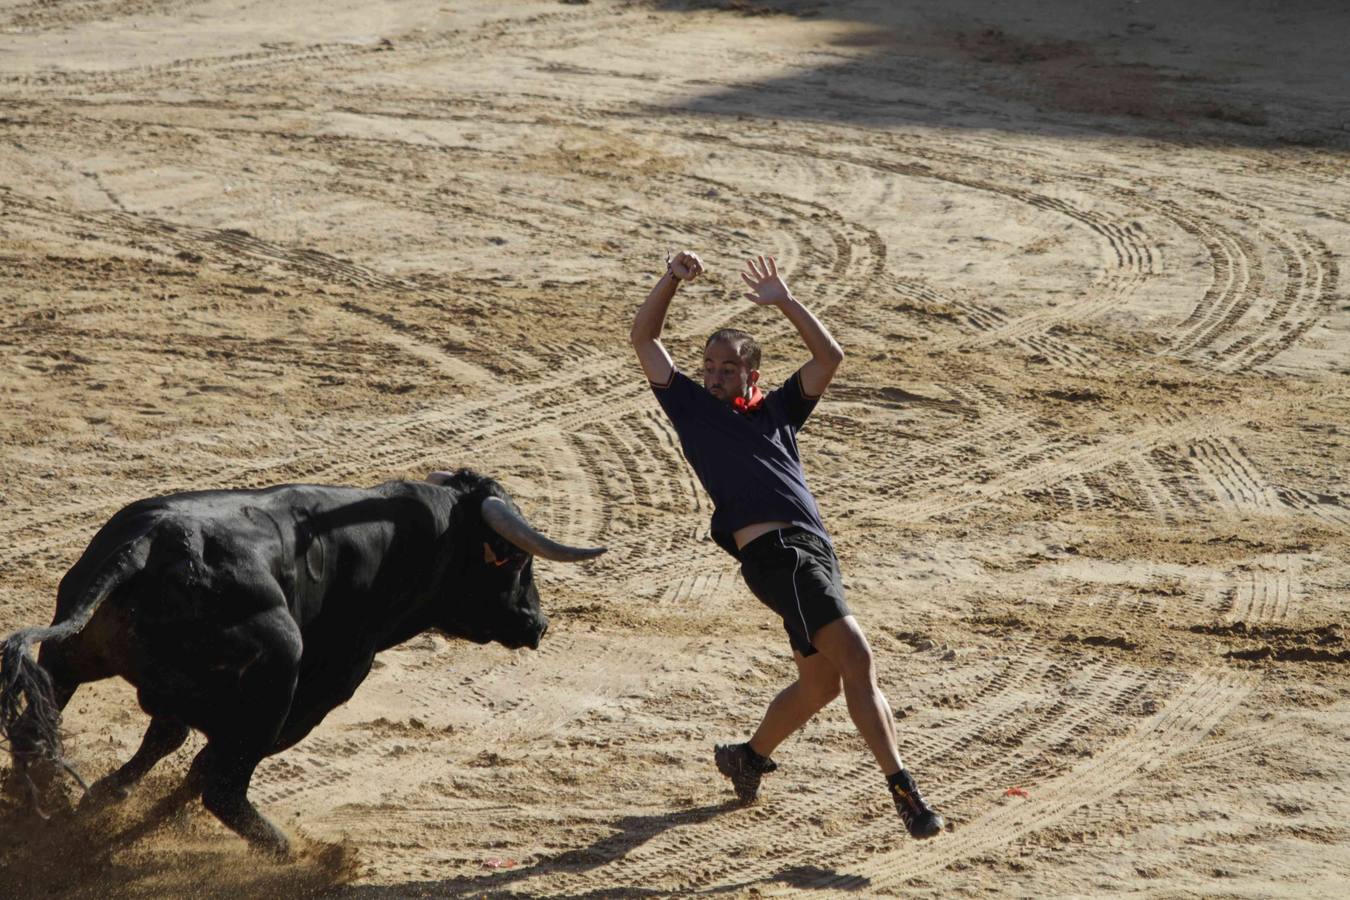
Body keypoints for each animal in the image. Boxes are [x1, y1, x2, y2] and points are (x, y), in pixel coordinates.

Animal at [0, 469, 602, 858]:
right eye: (517, 561)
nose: (538, 623)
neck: (403, 545)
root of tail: (148, 545)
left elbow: (171, 746)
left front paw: (105, 800)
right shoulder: (322, 692)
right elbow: (207, 766)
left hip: (69, 658)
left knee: (42, 728)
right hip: (276, 678)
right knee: (223, 786)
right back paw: (289, 851)